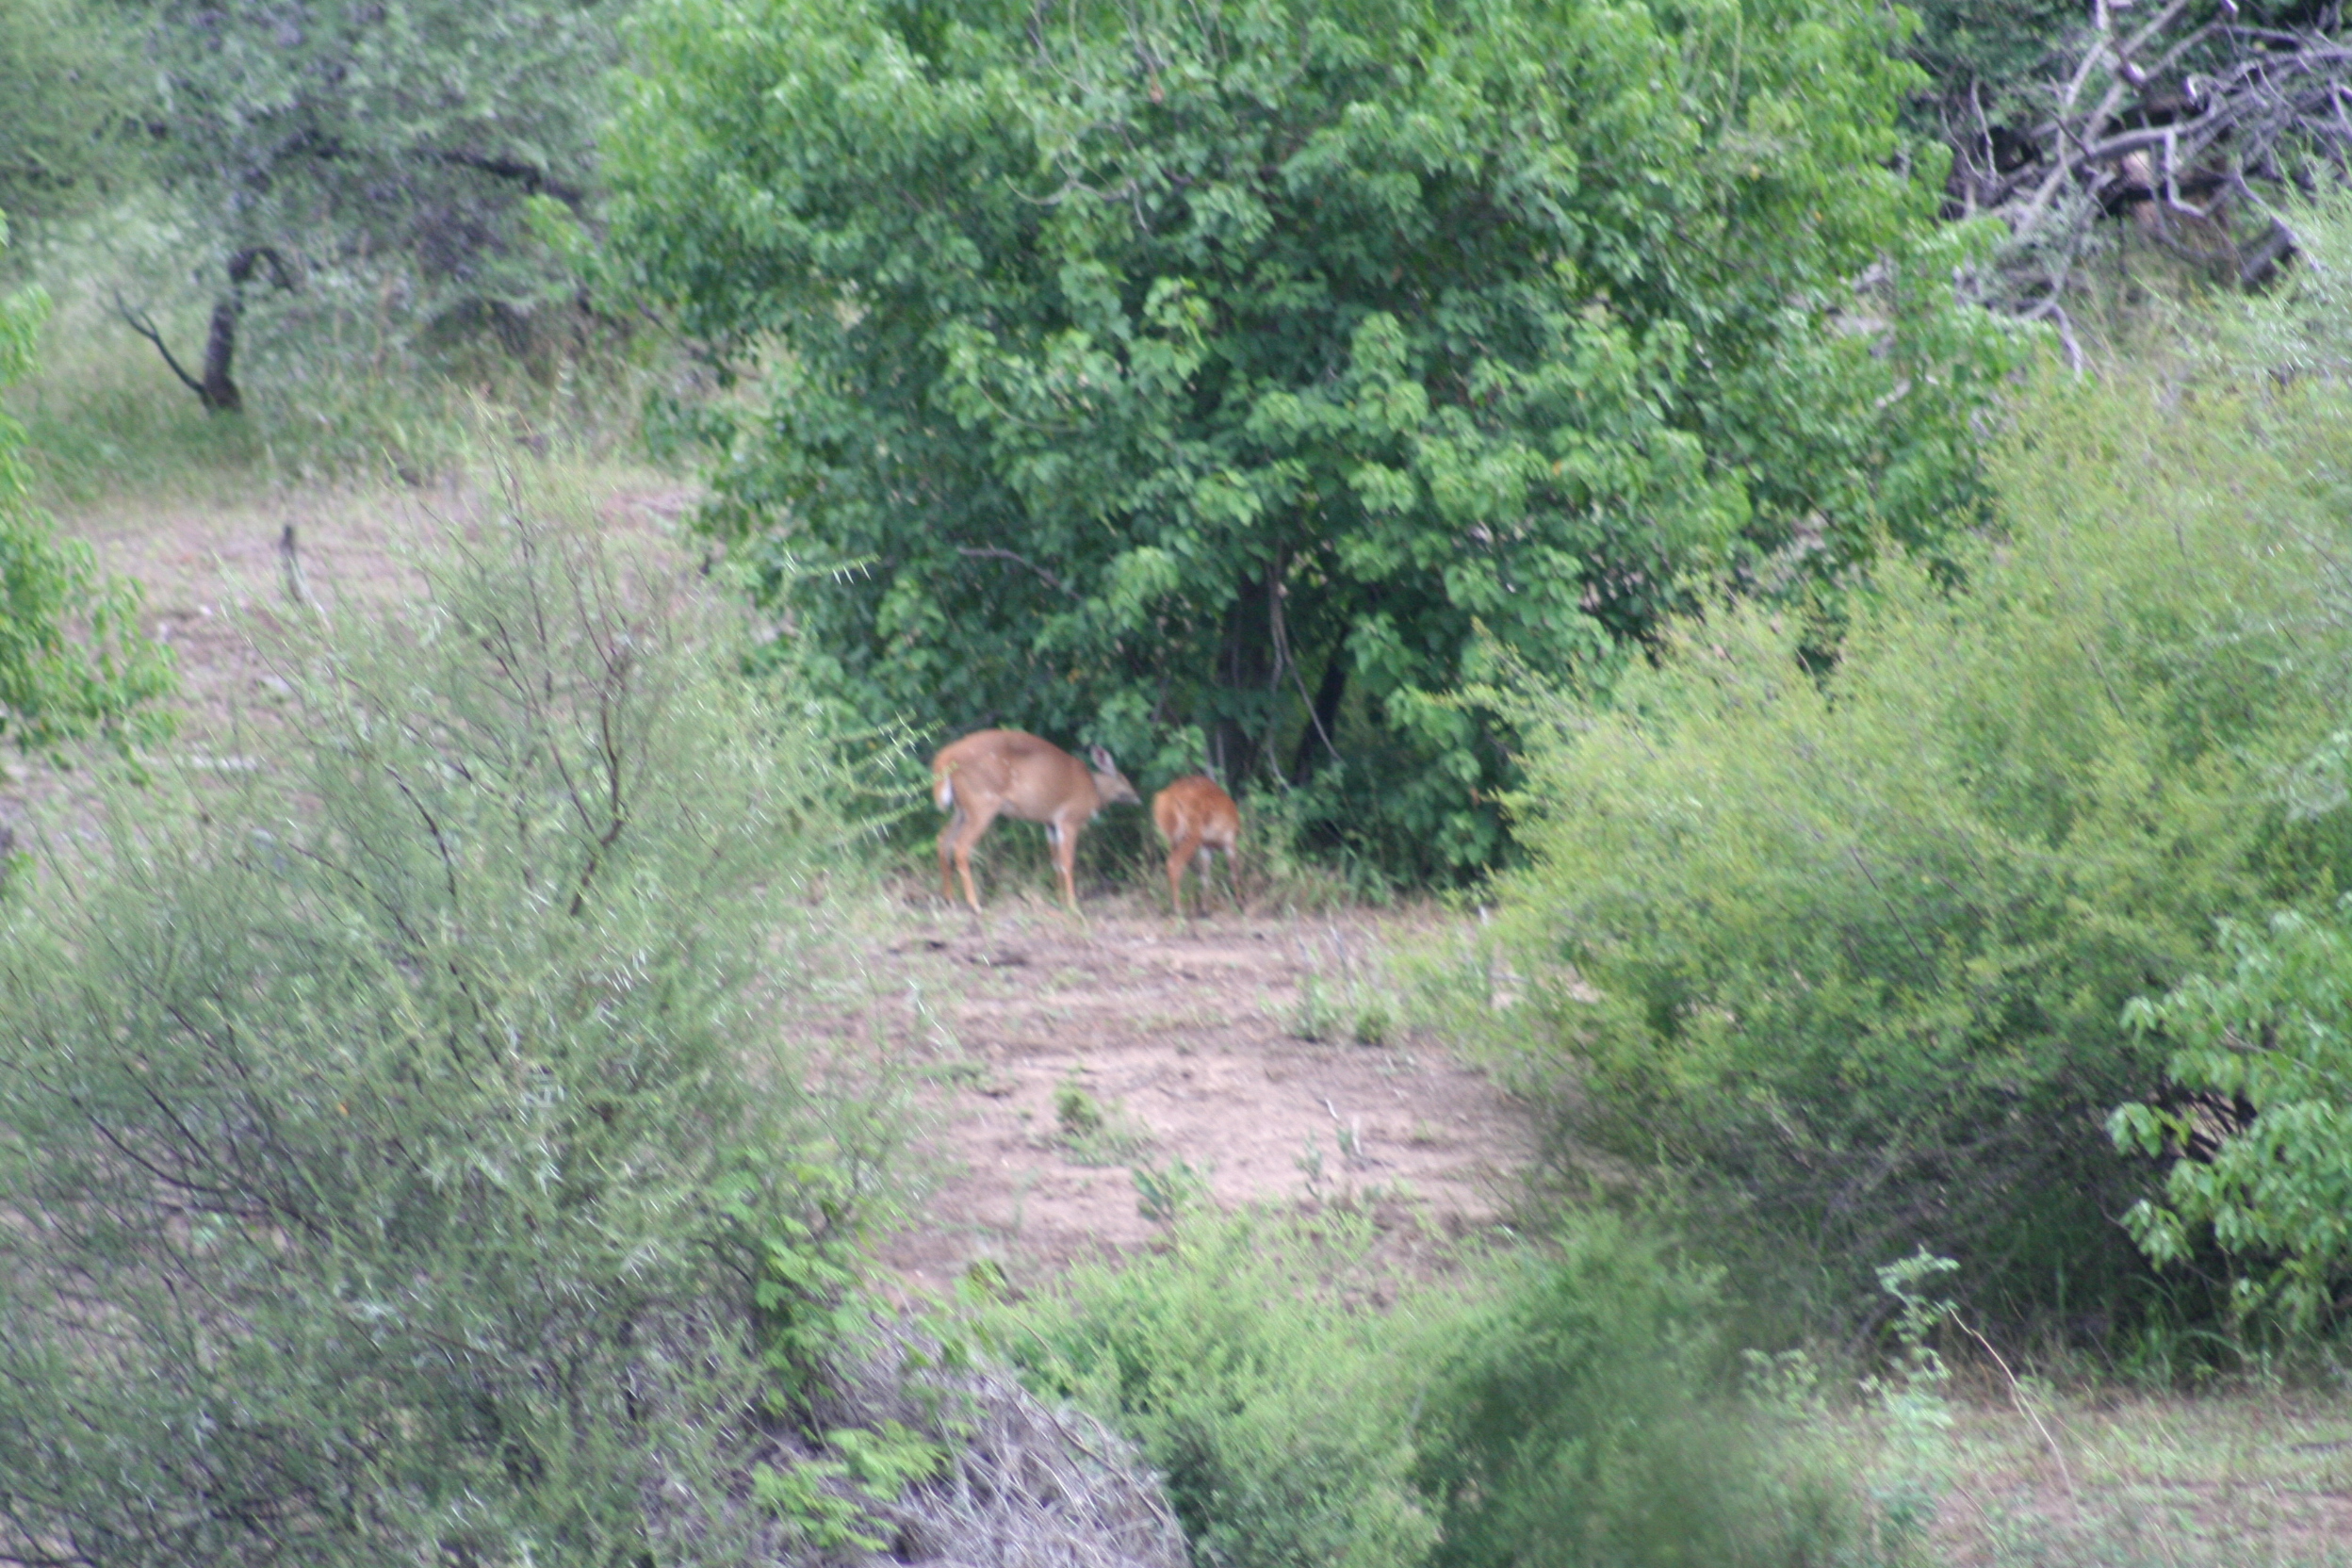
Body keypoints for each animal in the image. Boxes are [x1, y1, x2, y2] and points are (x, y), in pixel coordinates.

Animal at [926, 728, 1138, 911]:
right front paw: (1072, 905)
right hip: (982, 802)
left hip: (962, 809)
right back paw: (974, 904)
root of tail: (946, 757)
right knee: (961, 846)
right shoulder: (1069, 819)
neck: (1094, 790)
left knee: (942, 839)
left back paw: (949, 899)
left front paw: (1060, 899)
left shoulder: (1050, 823)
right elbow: (1067, 861)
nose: (1137, 797)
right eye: (1124, 780)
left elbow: (1056, 861)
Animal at [1148, 776, 1241, 921]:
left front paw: (1205, 910)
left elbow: (1205, 877)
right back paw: (1178, 910)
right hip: (1192, 834)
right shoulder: (1229, 841)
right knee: (1174, 864)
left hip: (1173, 838)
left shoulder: (1205, 846)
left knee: (1172, 864)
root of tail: (1169, 796)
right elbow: (1234, 874)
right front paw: (1239, 905)